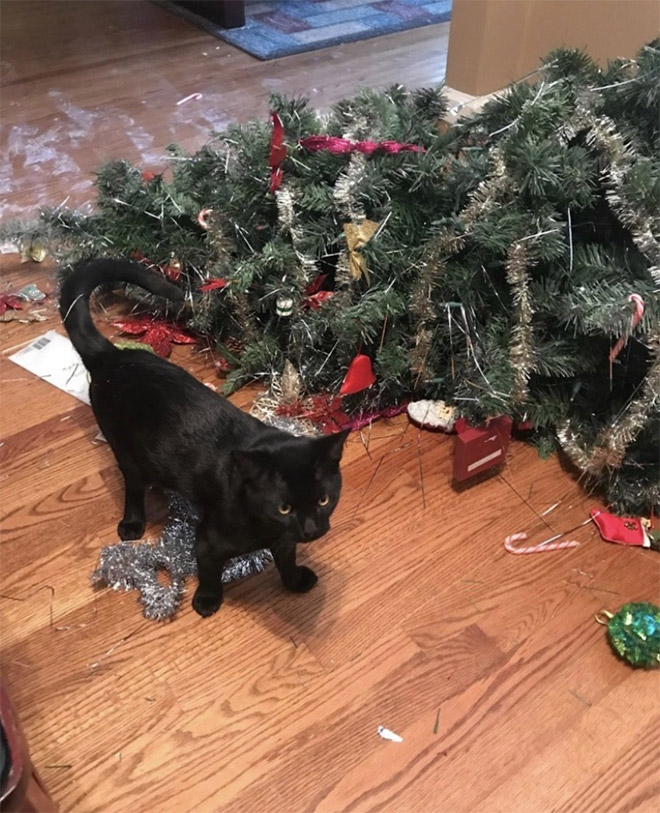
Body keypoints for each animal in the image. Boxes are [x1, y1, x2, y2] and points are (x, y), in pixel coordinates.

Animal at [60, 260, 350, 616]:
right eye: (284, 507)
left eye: (324, 500)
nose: (311, 529)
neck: (264, 525)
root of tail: (114, 356)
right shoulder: (208, 540)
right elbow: (209, 571)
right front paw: (207, 601)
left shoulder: (284, 540)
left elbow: (286, 559)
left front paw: (295, 582)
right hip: (123, 449)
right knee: (133, 486)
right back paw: (132, 523)